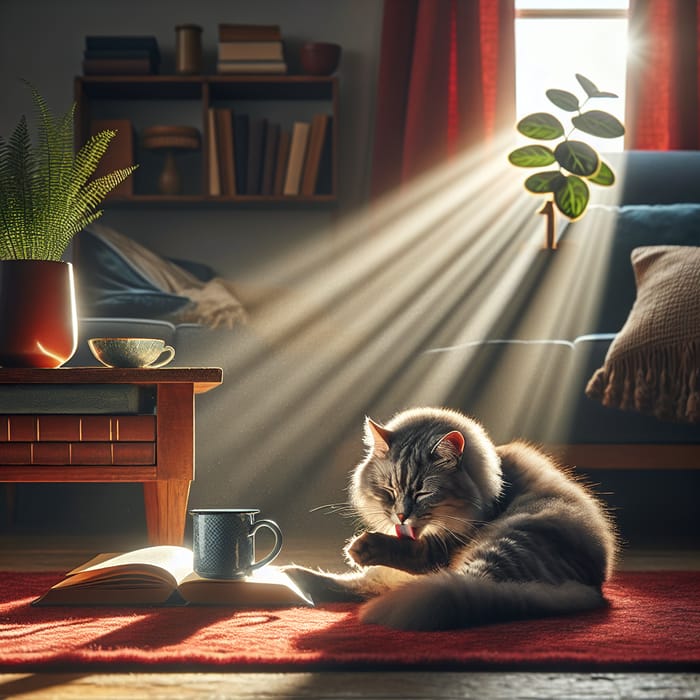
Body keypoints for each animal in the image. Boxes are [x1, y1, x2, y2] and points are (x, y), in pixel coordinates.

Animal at [288, 404, 616, 628]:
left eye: (422, 493)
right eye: (389, 490)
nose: (401, 516)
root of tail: (589, 587)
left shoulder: (441, 547)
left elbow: (411, 551)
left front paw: (361, 547)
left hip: (504, 541)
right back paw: (293, 577)